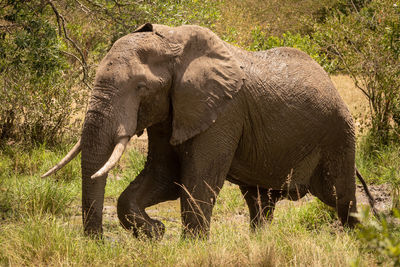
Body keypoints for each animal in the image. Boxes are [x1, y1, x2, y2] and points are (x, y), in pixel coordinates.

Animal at [43, 24, 376, 240]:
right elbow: (164, 177)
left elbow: (197, 180)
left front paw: (189, 246)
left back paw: (355, 240)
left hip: (339, 133)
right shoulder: (171, 112)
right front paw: (156, 232)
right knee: (260, 202)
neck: (173, 43)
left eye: (140, 88)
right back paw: (259, 242)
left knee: (340, 197)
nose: (97, 242)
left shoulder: (223, 112)